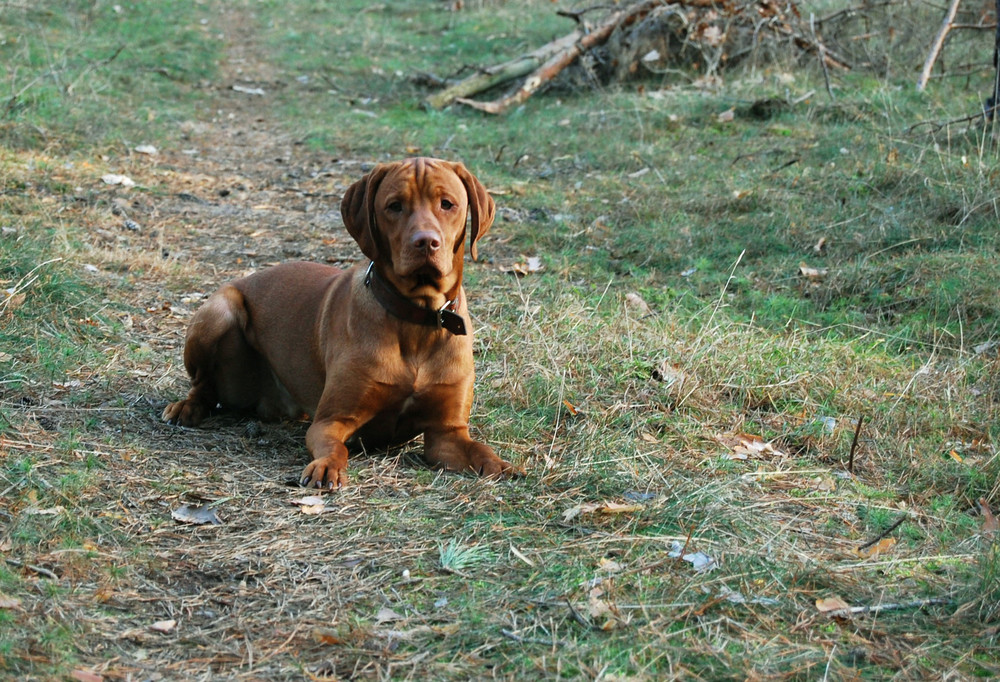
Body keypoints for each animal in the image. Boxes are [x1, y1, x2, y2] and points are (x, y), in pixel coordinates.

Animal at [160, 157, 520, 486]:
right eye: (394, 206)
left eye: (447, 204)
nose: (426, 242)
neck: (415, 319)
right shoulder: (330, 420)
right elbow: (336, 448)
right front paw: (326, 467)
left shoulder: (447, 433)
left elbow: (479, 450)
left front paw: (504, 466)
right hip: (218, 311)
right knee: (203, 385)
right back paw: (186, 407)